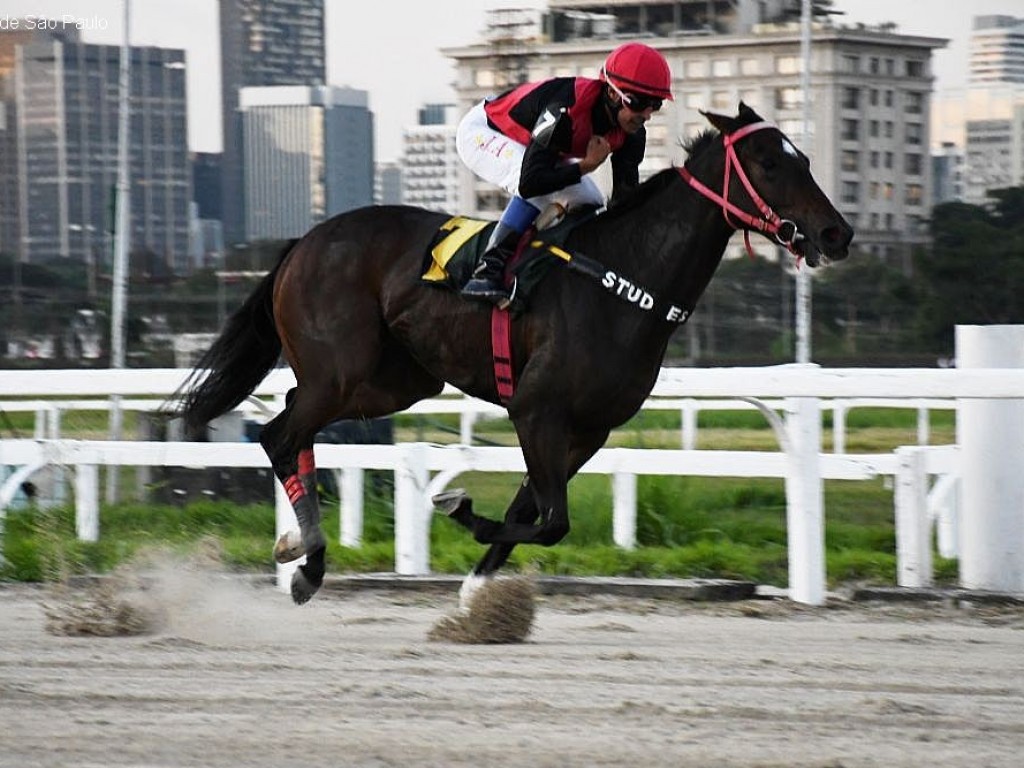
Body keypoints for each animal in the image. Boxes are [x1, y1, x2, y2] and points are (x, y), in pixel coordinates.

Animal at [178, 103, 856, 606]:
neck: (622, 280)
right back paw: (306, 558)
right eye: (768, 162)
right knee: (279, 433)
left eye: (804, 158)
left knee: (293, 424)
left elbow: (532, 509)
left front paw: (475, 590)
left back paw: (302, 553)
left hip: (392, 382)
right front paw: (457, 507)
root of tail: (302, 241)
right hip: (342, 374)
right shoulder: (537, 409)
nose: (837, 233)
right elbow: (552, 520)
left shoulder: (588, 429)